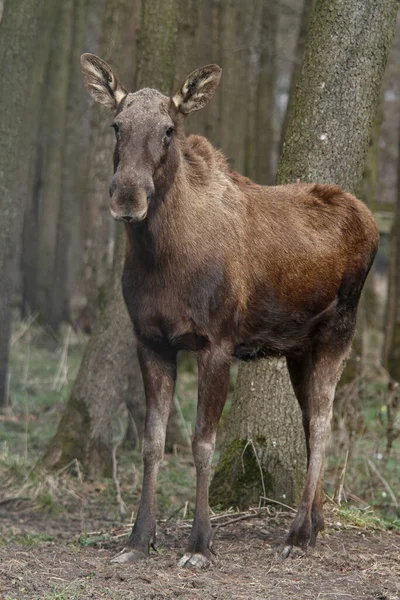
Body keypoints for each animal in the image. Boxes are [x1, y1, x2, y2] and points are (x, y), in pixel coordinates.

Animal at [80, 52, 378, 568]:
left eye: (169, 129)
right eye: (116, 125)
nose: (127, 197)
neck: (160, 260)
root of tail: (374, 221)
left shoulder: (216, 342)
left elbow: (203, 444)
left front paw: (200, 544)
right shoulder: (151, 341)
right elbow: (152, 443)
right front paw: (138, 539)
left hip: (339, 330)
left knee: (324, 423)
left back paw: (298, 532)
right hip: (298, 348)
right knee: (309, 419)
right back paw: (316, 522)